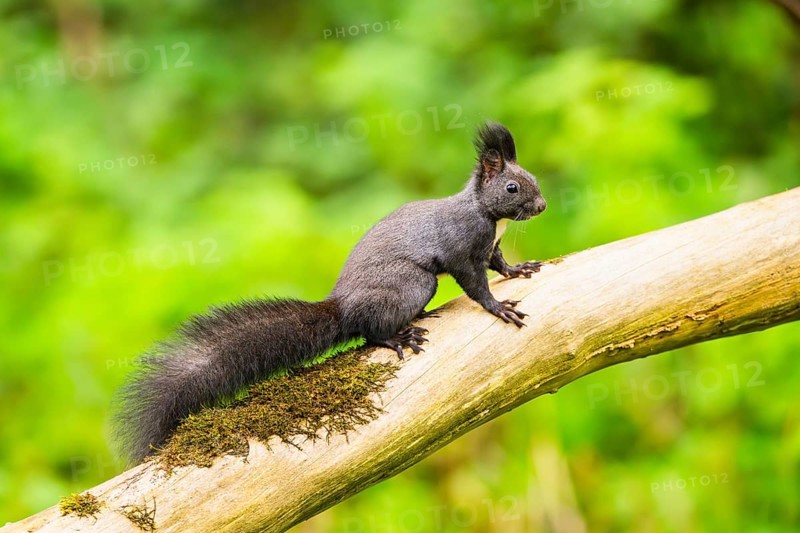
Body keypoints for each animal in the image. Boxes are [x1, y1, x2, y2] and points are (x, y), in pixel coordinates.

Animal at [113, 121, 547, 464]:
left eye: (534, 179)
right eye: (512, 187)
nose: (542, 205)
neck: (488, 214)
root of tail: (342, 306)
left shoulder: (490, 248)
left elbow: (499, 265)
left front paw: (520, 269)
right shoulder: (462, 251)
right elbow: (476, 285)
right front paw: (499, 307)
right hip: (414, 282)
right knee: (369, 331)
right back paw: (398, 335)